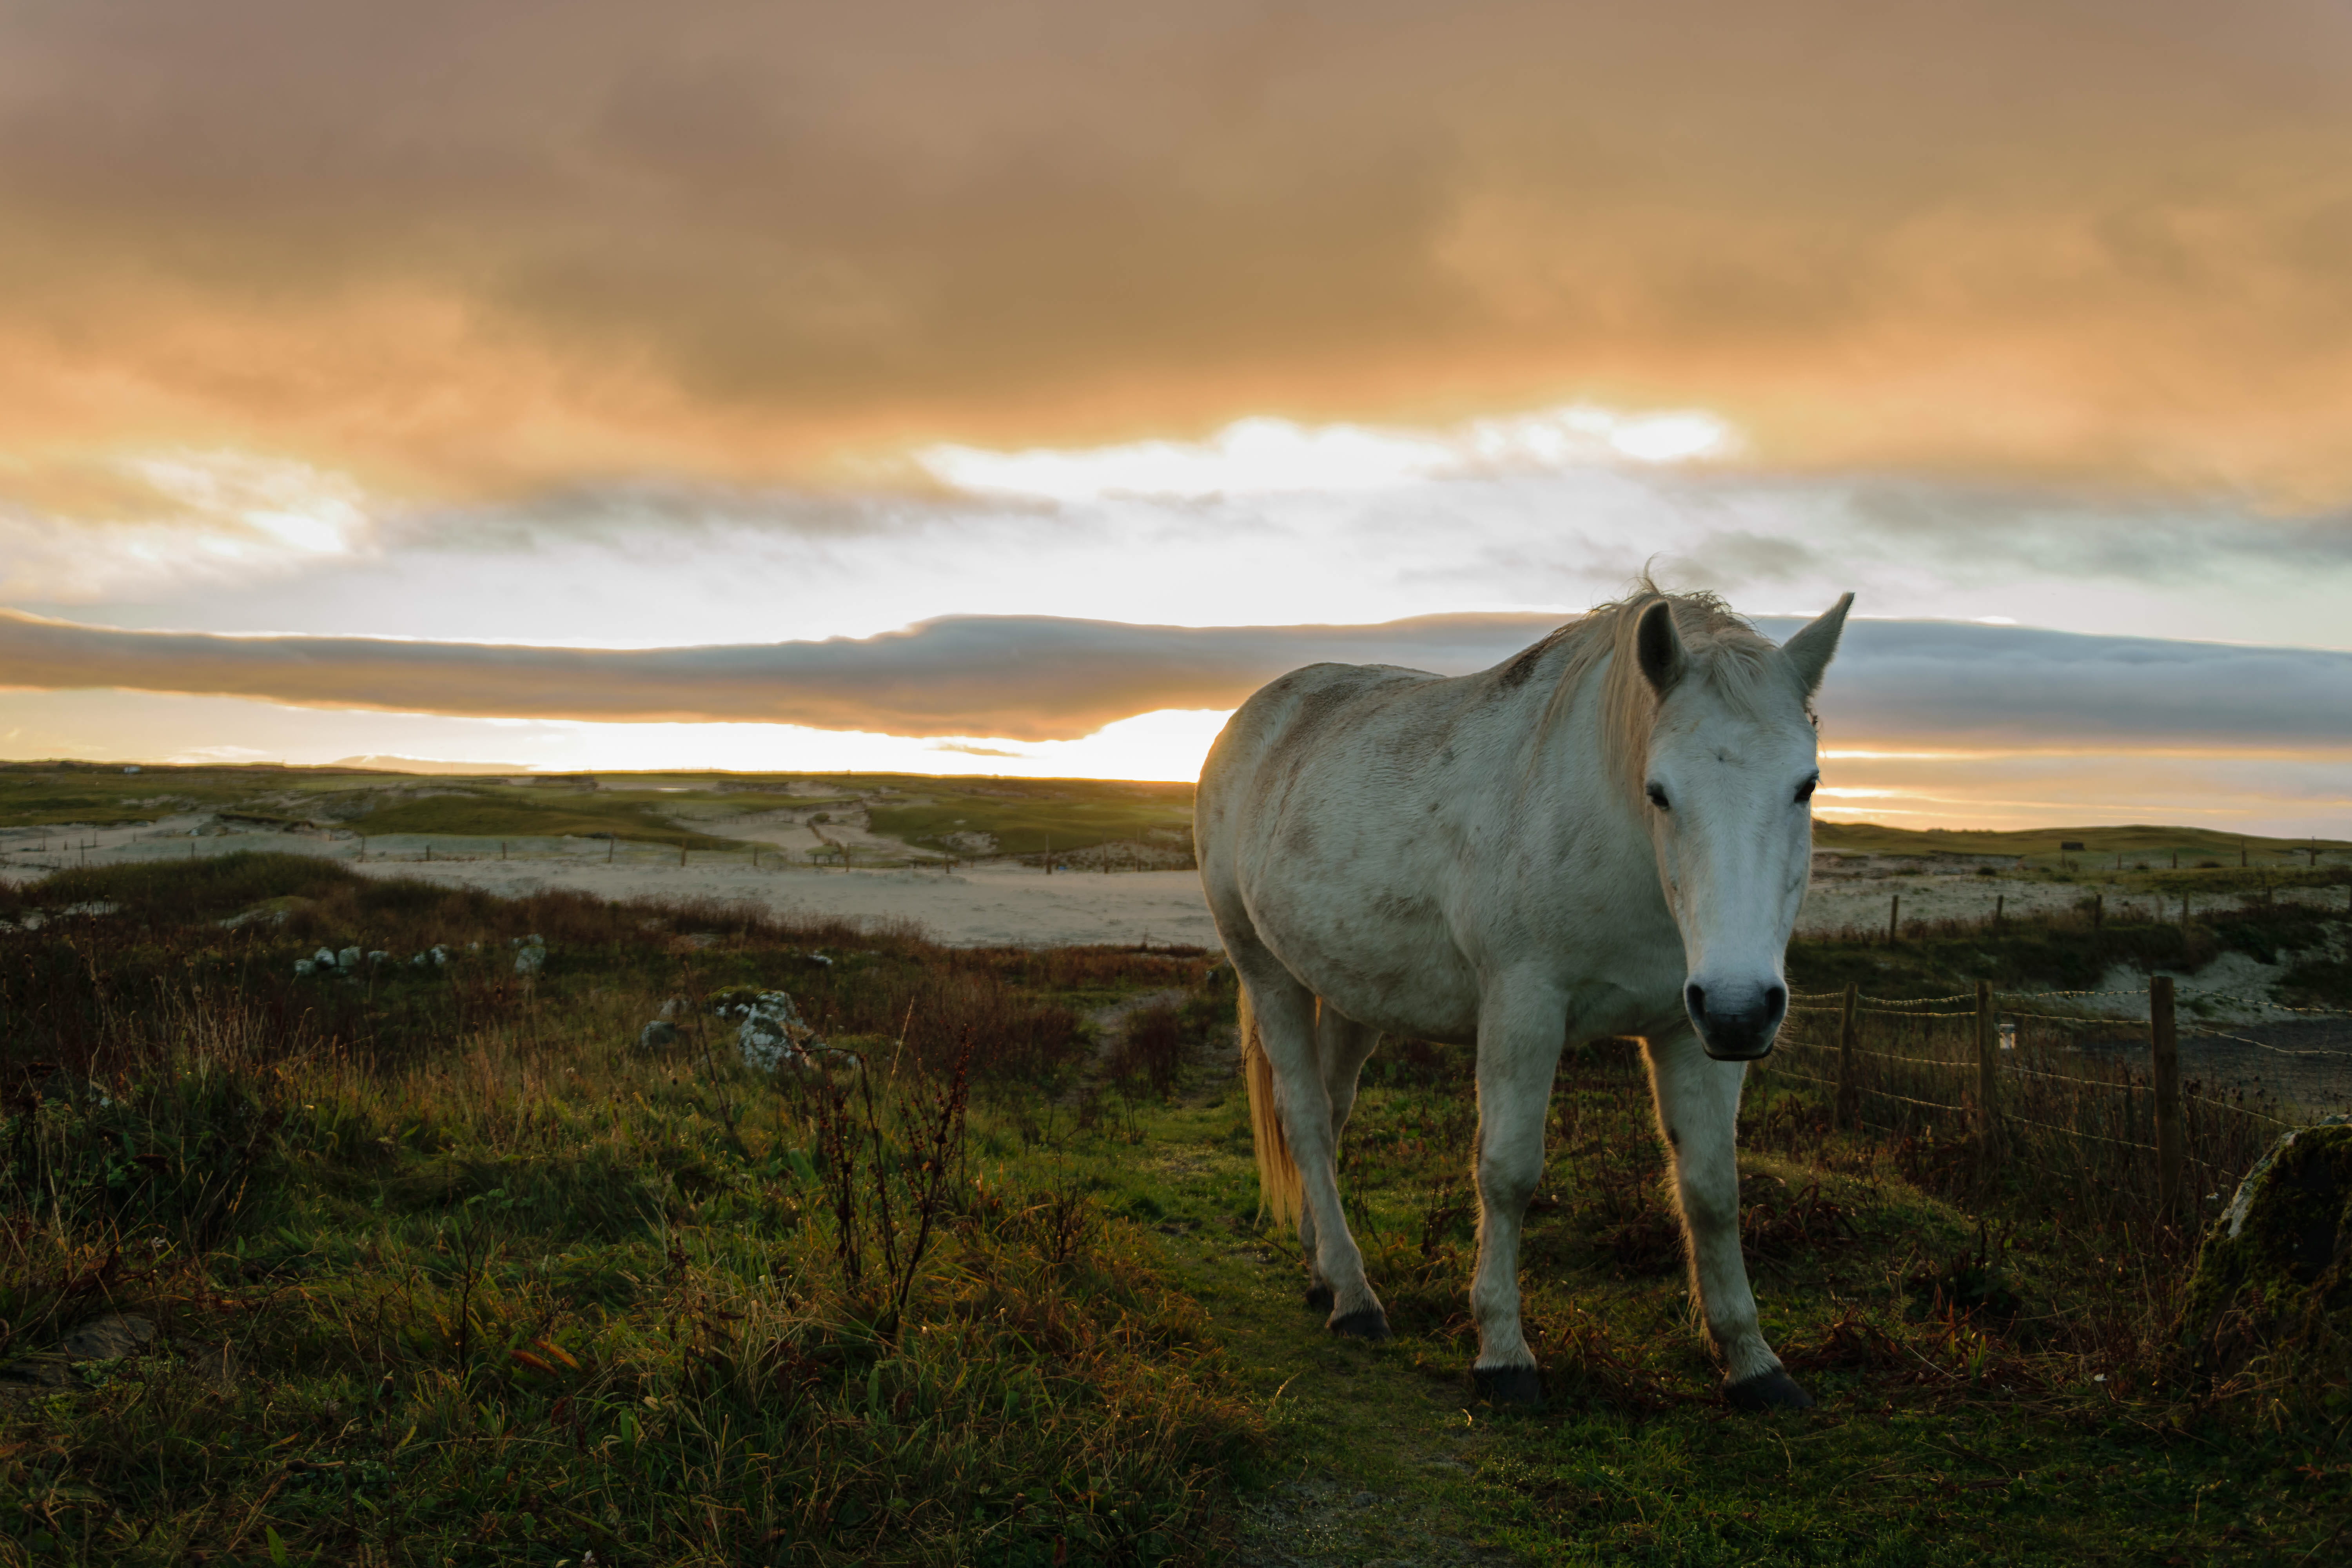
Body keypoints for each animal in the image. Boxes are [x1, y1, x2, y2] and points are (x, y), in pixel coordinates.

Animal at [1193, 584, 1852, 1410]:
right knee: (1307, 1122)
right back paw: (1355, 1300)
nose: (1741, 1011)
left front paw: (1753, 1362)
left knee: (1334, 1113)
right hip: (1266, 971)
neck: (1622, 843)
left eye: (1806, 786)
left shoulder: (1691, 1030)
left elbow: (1711, 1188)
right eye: (1660, 792)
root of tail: (1253, 718)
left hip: (1348, 993)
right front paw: (1503, 1354)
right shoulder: (1523, 1009)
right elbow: (1507, 1172)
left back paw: (1324, 1270)